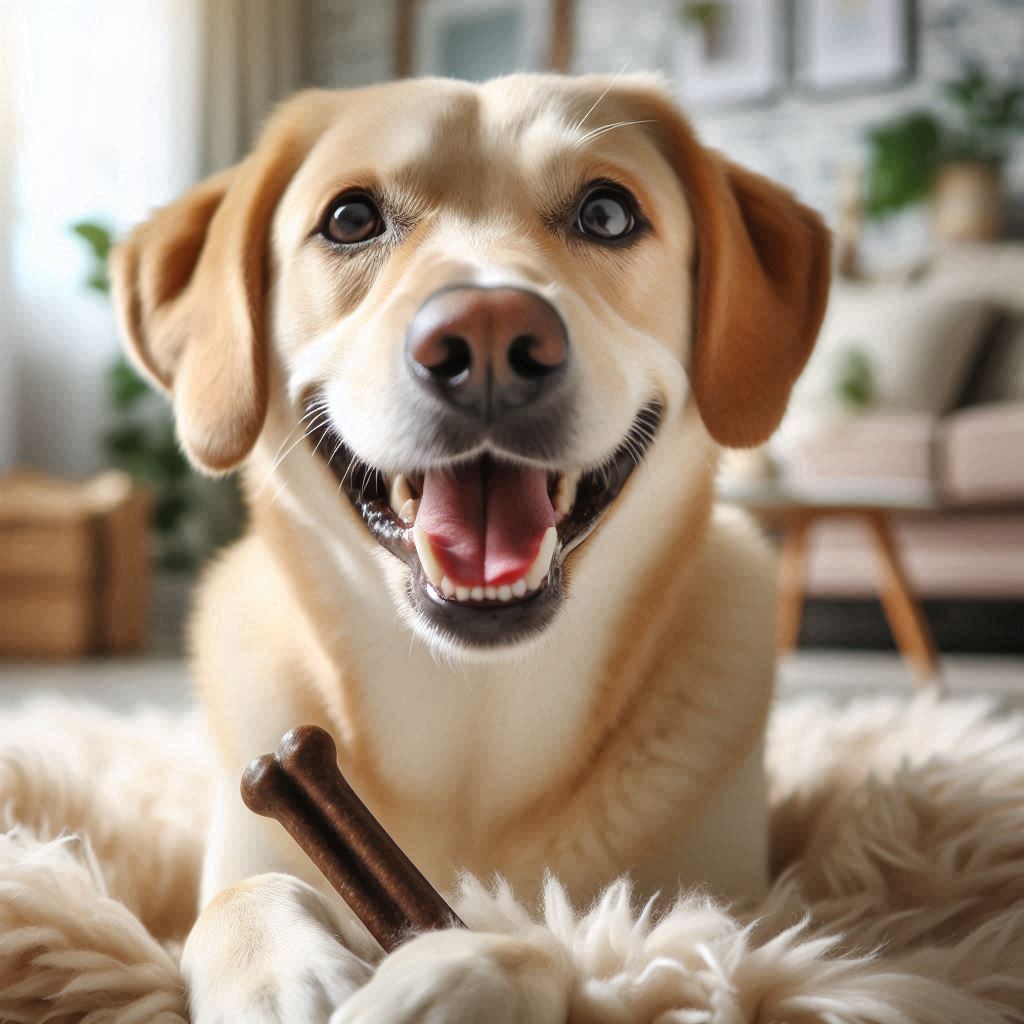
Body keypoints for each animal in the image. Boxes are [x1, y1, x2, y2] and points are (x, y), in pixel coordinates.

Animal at [114, 74, 831, 1024]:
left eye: (608, 214)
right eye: (350, 218)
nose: (489, 332)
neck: (471, 721)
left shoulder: (727, 912)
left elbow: (576, 942)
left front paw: (455, 972)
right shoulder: (253, 823)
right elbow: (239, 898)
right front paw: (278, 973)